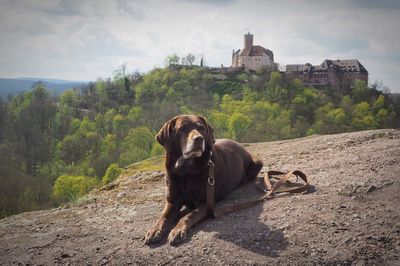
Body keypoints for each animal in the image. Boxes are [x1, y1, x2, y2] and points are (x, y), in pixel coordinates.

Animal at [144, 114, 262, 245]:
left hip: (257, 162)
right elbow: (163, 217)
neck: (185, 171)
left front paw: (177, 230)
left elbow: (189, 216)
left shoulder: (205, 202)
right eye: (182, 129)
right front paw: (154, 230)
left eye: (202, 128)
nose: (199, 139)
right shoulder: (172, 201)